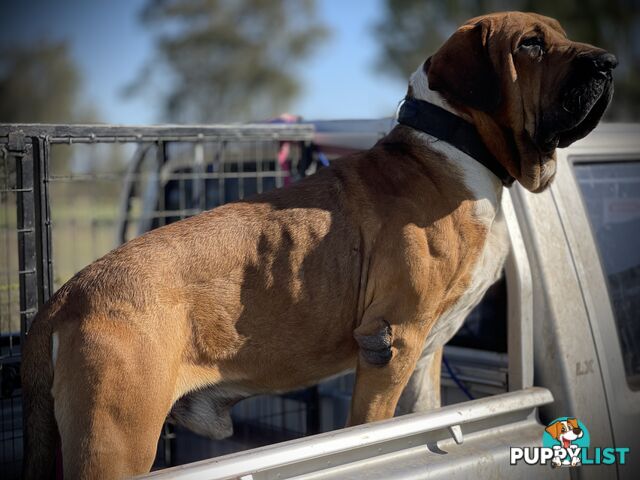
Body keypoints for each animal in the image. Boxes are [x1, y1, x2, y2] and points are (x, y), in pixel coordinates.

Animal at [23, 11, 616, 480]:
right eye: (530, 44)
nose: (609, 61)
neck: (455, 147)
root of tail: (67, 296)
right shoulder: (390, 343)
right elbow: (372, 423)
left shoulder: (426, 355)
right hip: (115, 441)